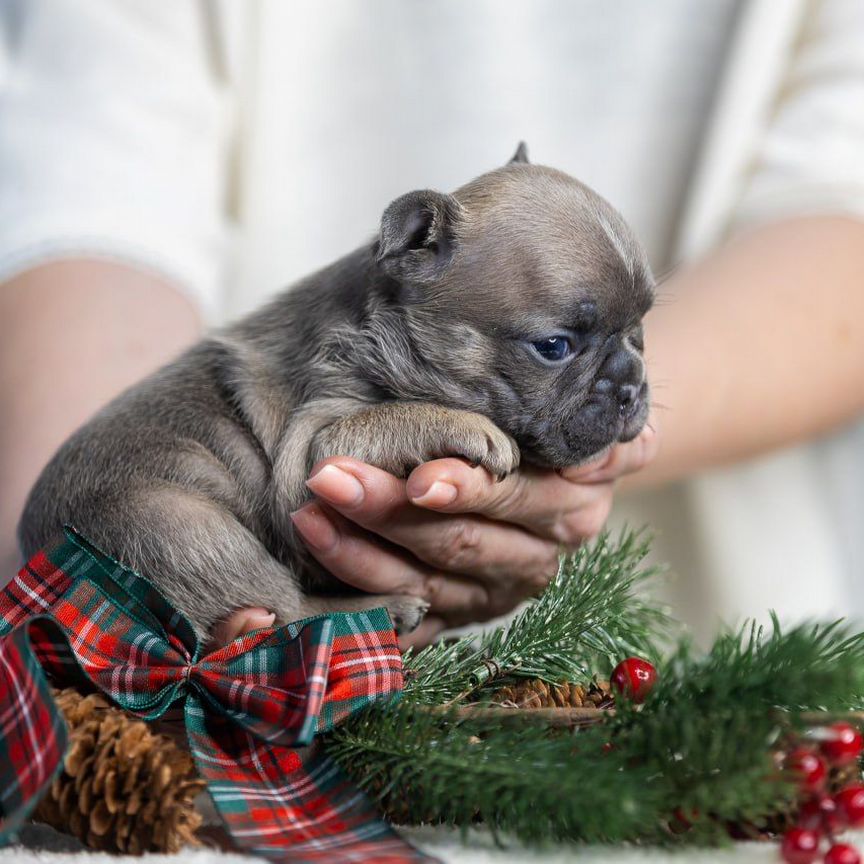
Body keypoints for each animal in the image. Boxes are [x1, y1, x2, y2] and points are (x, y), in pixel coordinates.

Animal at [18, 145, 656, 636]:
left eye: (641, 331)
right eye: (554, 347)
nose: (630, 385)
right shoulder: (314, 448)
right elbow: (386, 419)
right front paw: (472, 429)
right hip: (175, 525)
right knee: (280, 609)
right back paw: (383, 607)